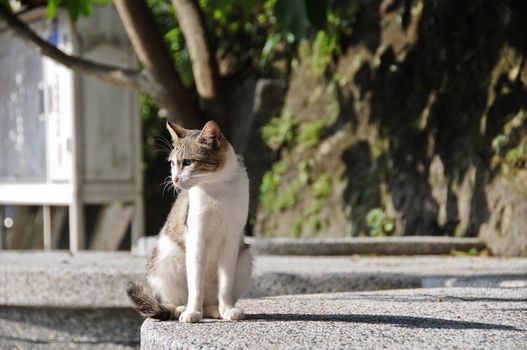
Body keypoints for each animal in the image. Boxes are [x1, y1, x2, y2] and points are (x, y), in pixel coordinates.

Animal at [127, 120, 252, 322]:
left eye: (187, 162)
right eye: (172, 163)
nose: (175, 179)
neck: (217, 187)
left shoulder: (232, 239)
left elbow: (226, 282)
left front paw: (227, 309)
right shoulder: (196, 236)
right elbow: (195, 282)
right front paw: (192, 311)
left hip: (244, 259)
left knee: (210, 303)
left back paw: (216, 310)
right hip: (166, 259)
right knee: (172, 303)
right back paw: (182, 309)